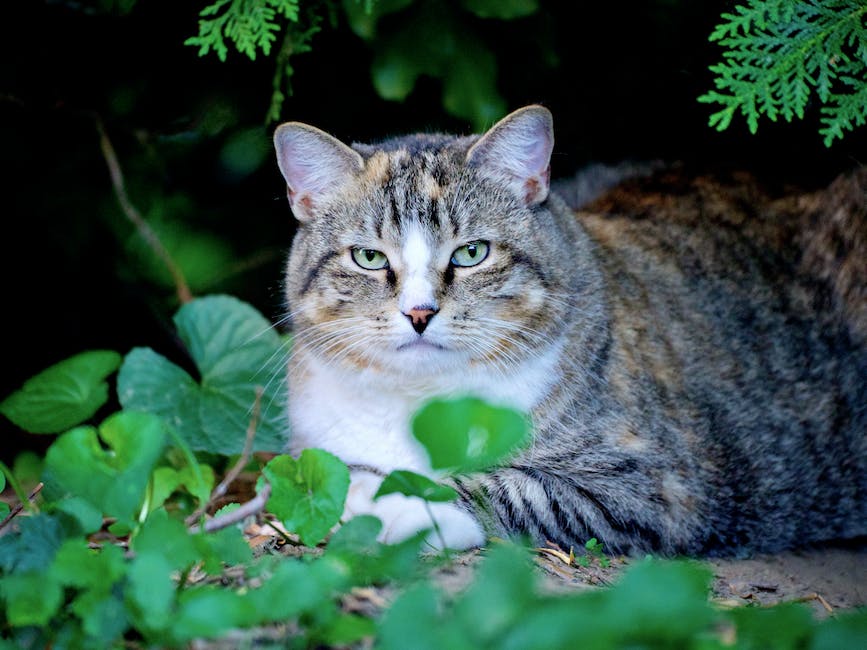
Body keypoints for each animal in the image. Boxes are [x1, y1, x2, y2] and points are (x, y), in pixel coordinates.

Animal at [272, 105, 867, 552]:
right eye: (369, 257)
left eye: (472, 253)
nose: (419, 313)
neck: (417, 402)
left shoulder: (658, 487)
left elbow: (515, 488)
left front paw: (386, 503)